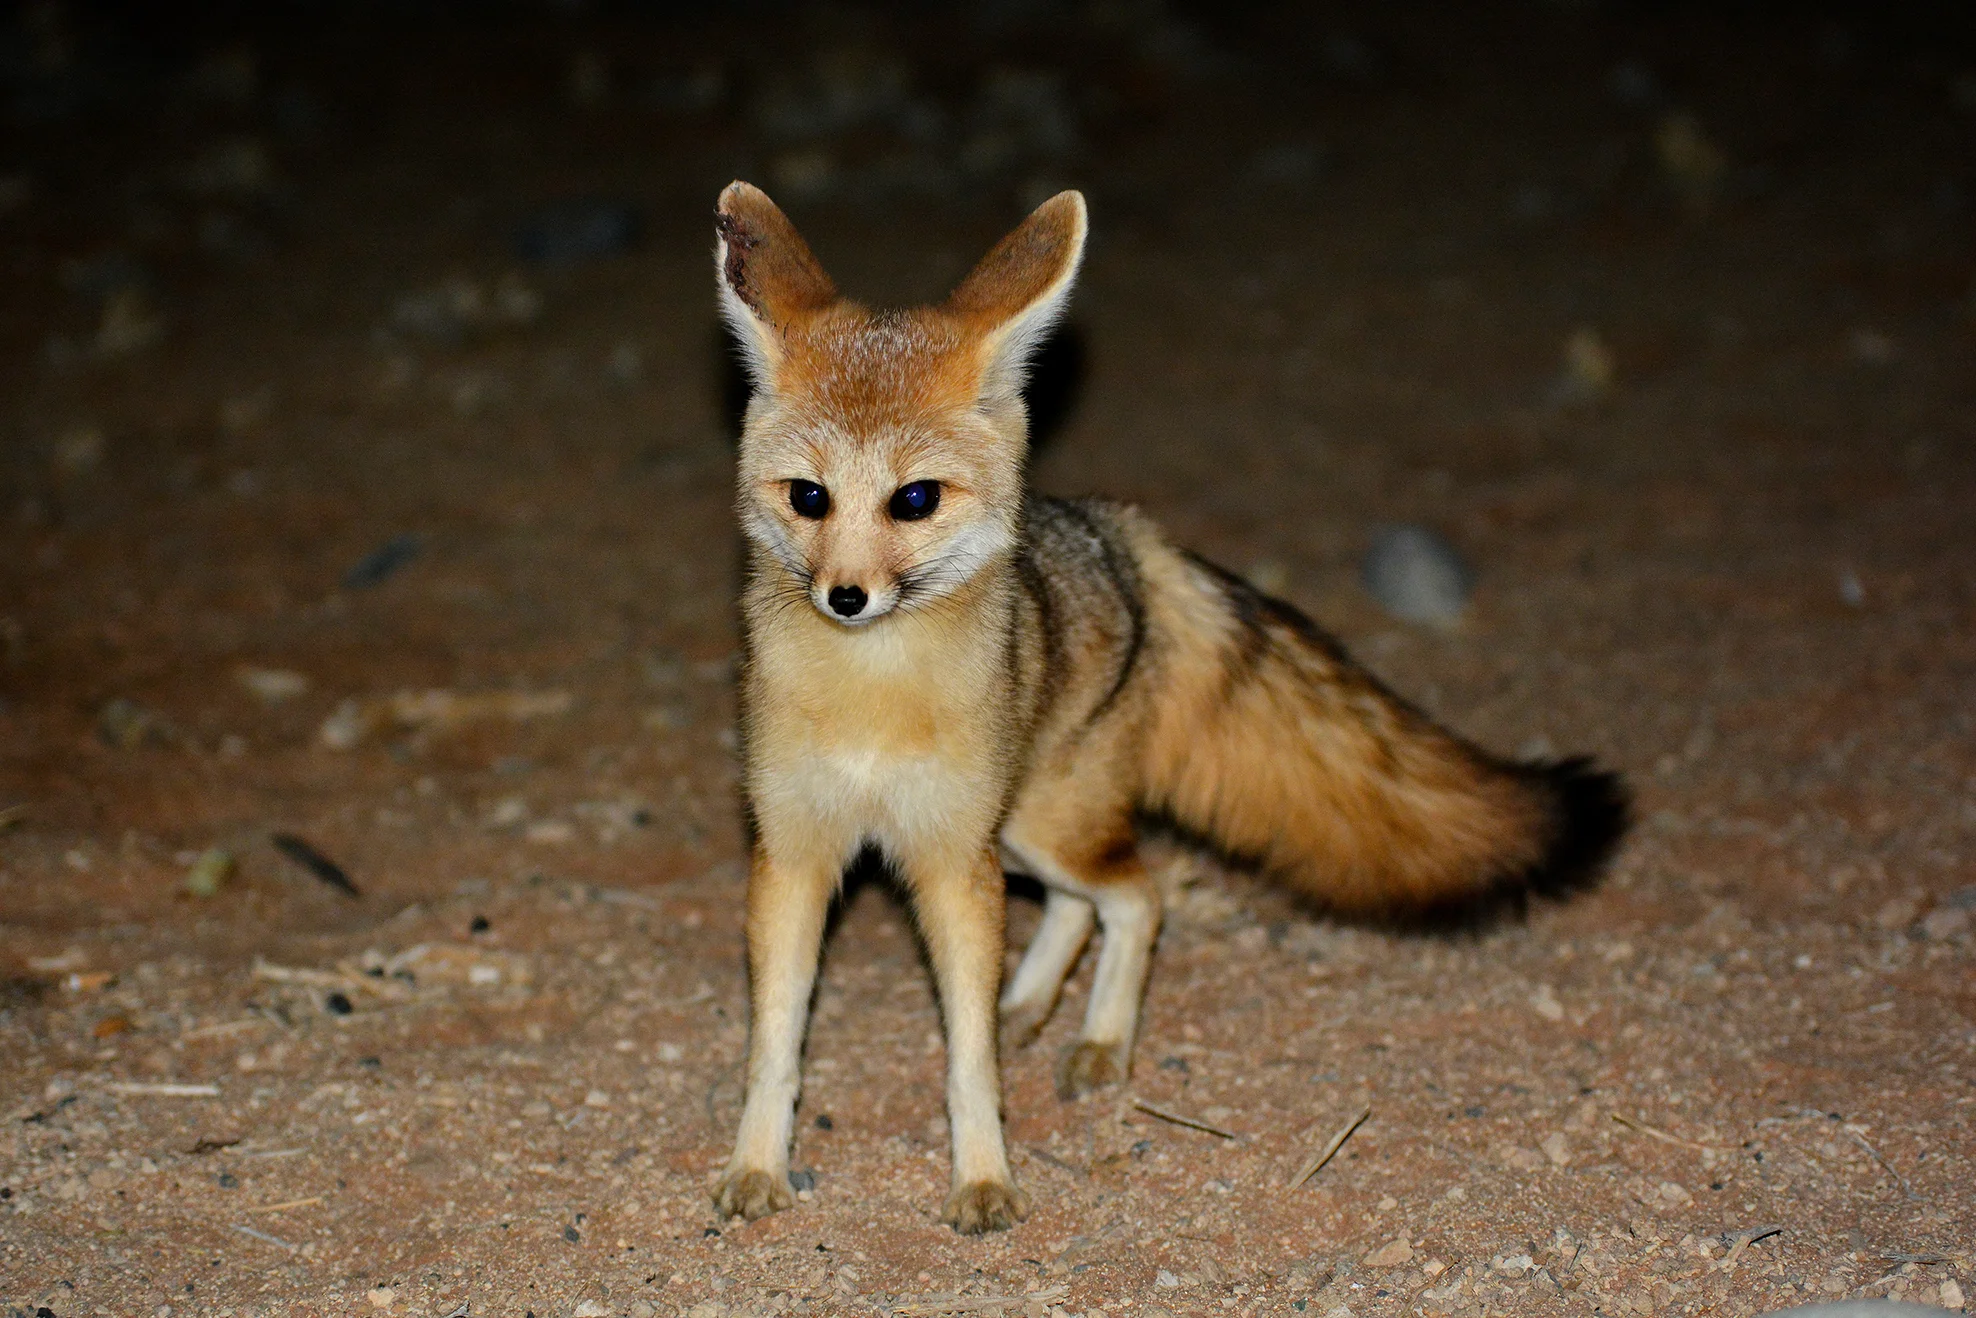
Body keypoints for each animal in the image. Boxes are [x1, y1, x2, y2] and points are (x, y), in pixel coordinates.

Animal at [708, 181, 1628, 1234]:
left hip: (1035, 825)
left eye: (914, 501)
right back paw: (1031, 1002)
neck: (870, 700)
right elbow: (776, 1046)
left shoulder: (949, 863)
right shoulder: (793, 856)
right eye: (808, 497)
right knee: (1085, 904)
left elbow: (968, 1060)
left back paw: (1097, 1037)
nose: (847, 597)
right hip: (1021, 832)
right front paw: (757, 1165)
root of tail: (1124, 532)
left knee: (1137, 896)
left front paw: (984, 1175)